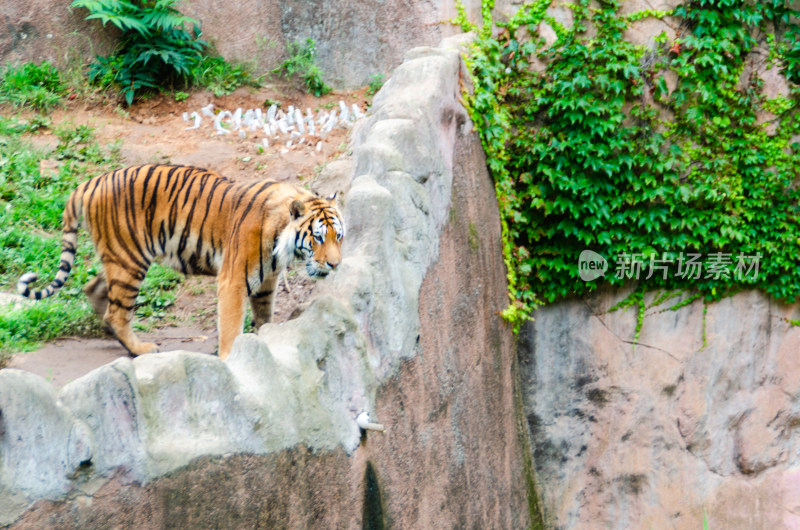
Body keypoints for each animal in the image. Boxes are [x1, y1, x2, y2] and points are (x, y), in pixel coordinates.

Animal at [16, 163, 344, 356]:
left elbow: (264, 318)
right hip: (130, 260)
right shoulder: (233, 281)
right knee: (116, 312)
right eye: (318, 238)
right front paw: (231, 359)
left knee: (94, 290)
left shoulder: (265, 284)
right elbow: (231, 326)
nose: (335, 264)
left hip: (119, 256)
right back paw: (141, 349)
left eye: (337, 236)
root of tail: (89, 183)